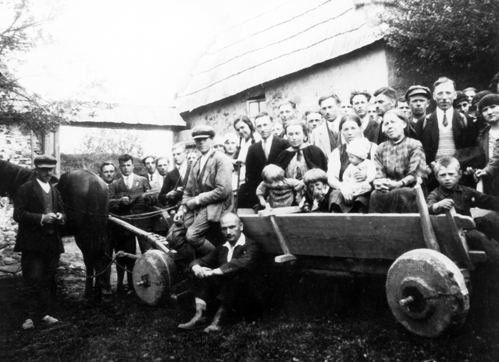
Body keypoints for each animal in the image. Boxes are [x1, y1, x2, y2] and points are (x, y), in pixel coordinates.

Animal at [0, 160, 111, 302]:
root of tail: (94, 182)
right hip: (100, 233)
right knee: (100, 258)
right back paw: (98, 292)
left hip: (83, 235)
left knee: (90, 260)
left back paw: (89, 293)